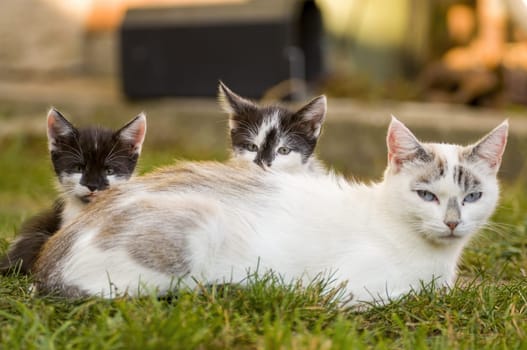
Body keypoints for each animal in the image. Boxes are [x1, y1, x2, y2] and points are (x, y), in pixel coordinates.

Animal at [33, 117, 508, 304]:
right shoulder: (352, 289)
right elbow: (417, 293)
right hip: (199, 225)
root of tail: (47, 266)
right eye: (427, 195)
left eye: (472, 197)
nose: (452, 222)